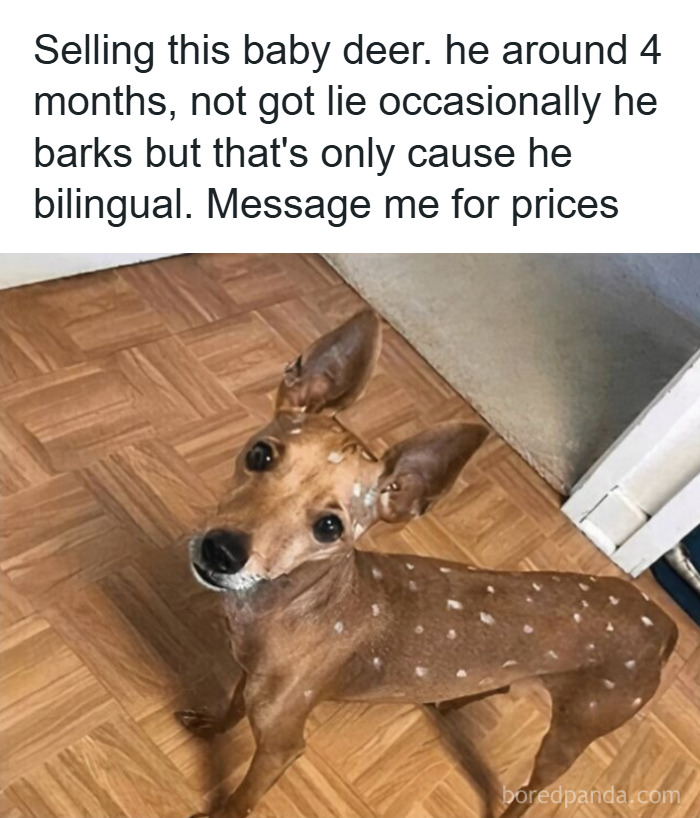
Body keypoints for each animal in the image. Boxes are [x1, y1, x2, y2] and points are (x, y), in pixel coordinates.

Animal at [178, 310, 678, 818]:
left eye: (330, 527)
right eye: (260, 454)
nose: (222, 551)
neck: (291, 606)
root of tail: (663, 626)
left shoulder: (282, 743)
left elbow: (241, 799)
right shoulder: (251, 680)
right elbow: (233, 707)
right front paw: (210, 725)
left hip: (573, 733)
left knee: (533, 791)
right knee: (500, 683)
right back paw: (454, 699)